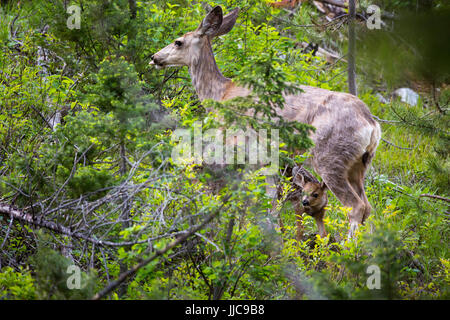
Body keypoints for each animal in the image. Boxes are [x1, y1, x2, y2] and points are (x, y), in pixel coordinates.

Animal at [150, 4, 380, 235]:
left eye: (178, 41)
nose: (154, 57)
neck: (220, 94)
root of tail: (371, 125)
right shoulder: (269, 156)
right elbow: (272, 196)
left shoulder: (243, 146)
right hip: (358, 165)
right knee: (368, 207)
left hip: (329, 158)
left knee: (355, 206)